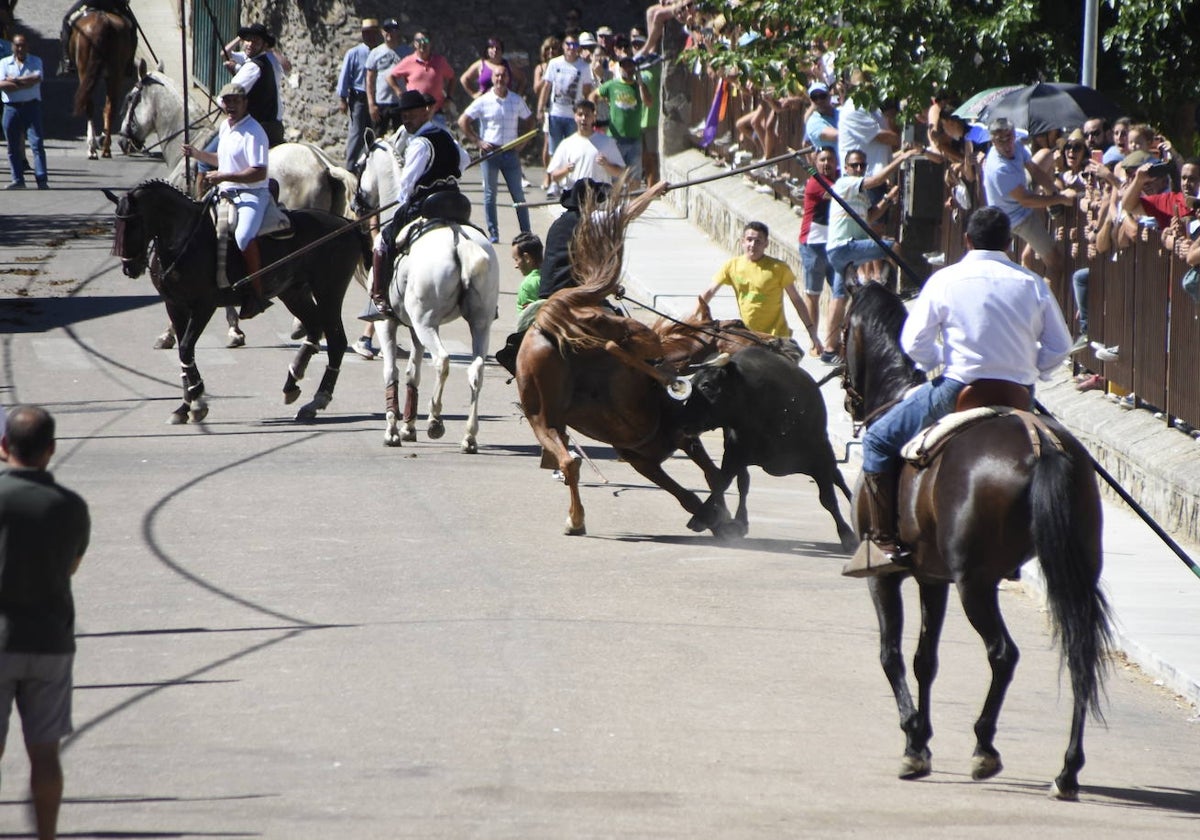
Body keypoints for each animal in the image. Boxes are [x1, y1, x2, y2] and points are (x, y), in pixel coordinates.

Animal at [69, 10, 135, 159]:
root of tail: (103, 20)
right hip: (114, 75)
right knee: (109, 108)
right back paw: (105, 149)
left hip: (86, 71)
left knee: (91, 105)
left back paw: (93, 148)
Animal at [107, 180, 369, 422]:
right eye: (117, 224)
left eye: (133, 223)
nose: (130, 268)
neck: (185, 241)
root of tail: (346, 225)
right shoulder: (175, 306)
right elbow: (183, 354)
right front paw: (184, 407)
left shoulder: (203, 306)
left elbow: (185, 349)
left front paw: (198, 403)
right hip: (294, 292)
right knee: (314, 329)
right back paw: (292, 383)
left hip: (328, 292)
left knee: (336, 341)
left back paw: (317, 400)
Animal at [840, 282, 1108, 801]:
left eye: (842, 327)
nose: (849, 400)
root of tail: (1039, 441)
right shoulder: (932, 577)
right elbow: (925, 659)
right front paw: (921, 739)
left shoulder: (887, 577)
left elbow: (891, 655)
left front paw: (913, 741)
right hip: (1073, 570)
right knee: (1080, 655)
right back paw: (1068, 770)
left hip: (976, 583)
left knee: (1003, 654)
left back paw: (985, 747)